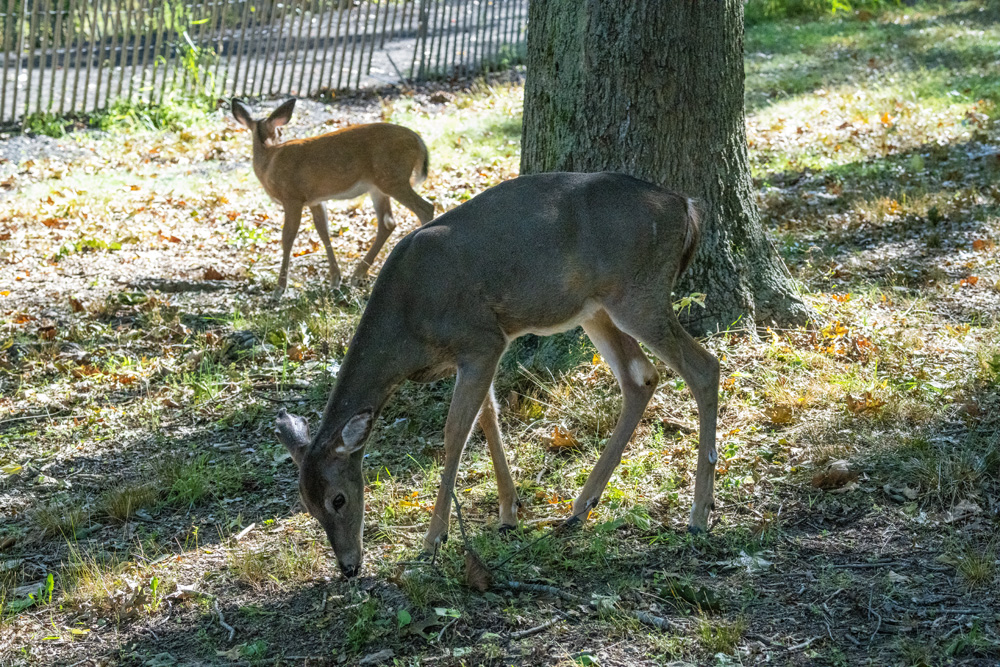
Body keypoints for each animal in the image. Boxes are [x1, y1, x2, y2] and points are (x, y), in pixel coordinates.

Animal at [231, 98, 435, 298]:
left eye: (280, 130)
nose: (280, 134)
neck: (269, 161)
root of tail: (419, 142)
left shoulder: (292, 197)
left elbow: (287, 237)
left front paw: (279, 289)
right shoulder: (315, 200)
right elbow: (323, 231)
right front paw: (335, 279)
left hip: (393, 179)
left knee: (425, 207)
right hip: (378, 186)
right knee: (388, 223)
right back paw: (357, 275)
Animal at [275, 172, 720, 578]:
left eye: (338, 499)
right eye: (307, 505)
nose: (349, 567)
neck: (406, 324)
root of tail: (685, 205)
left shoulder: (481, 339)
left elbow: (456, 431)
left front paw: (434, 540)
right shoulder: (472, 354)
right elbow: (489, 416)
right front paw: (509, 515)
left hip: (638, 293)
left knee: (704, 366)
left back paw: (698, 516)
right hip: (596, 308)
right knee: (641, 377)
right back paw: (580, 508)